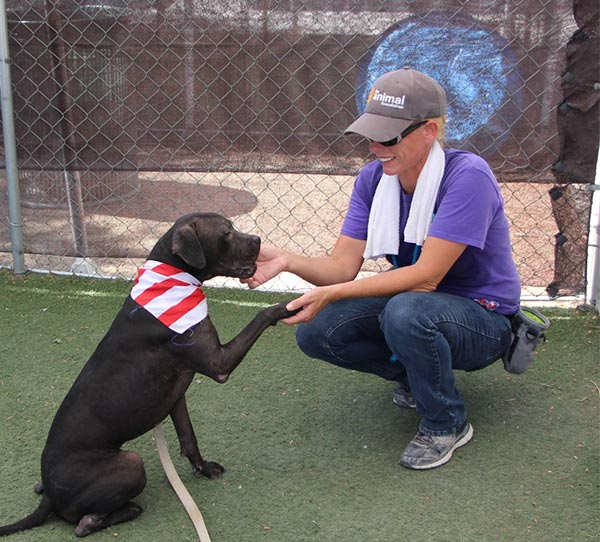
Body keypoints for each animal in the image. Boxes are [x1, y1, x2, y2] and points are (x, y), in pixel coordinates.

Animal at [0, 212, 298, 540]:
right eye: (226, 232)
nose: (258, 240)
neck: (173, 277)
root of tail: (51, 497)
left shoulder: (176, 394)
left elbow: (188, 437)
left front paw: (203, 468)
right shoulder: (218, 363)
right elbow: (261, 315)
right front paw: (291, 306)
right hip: (131, 462)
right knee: (83, 523)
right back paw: (128, 509)